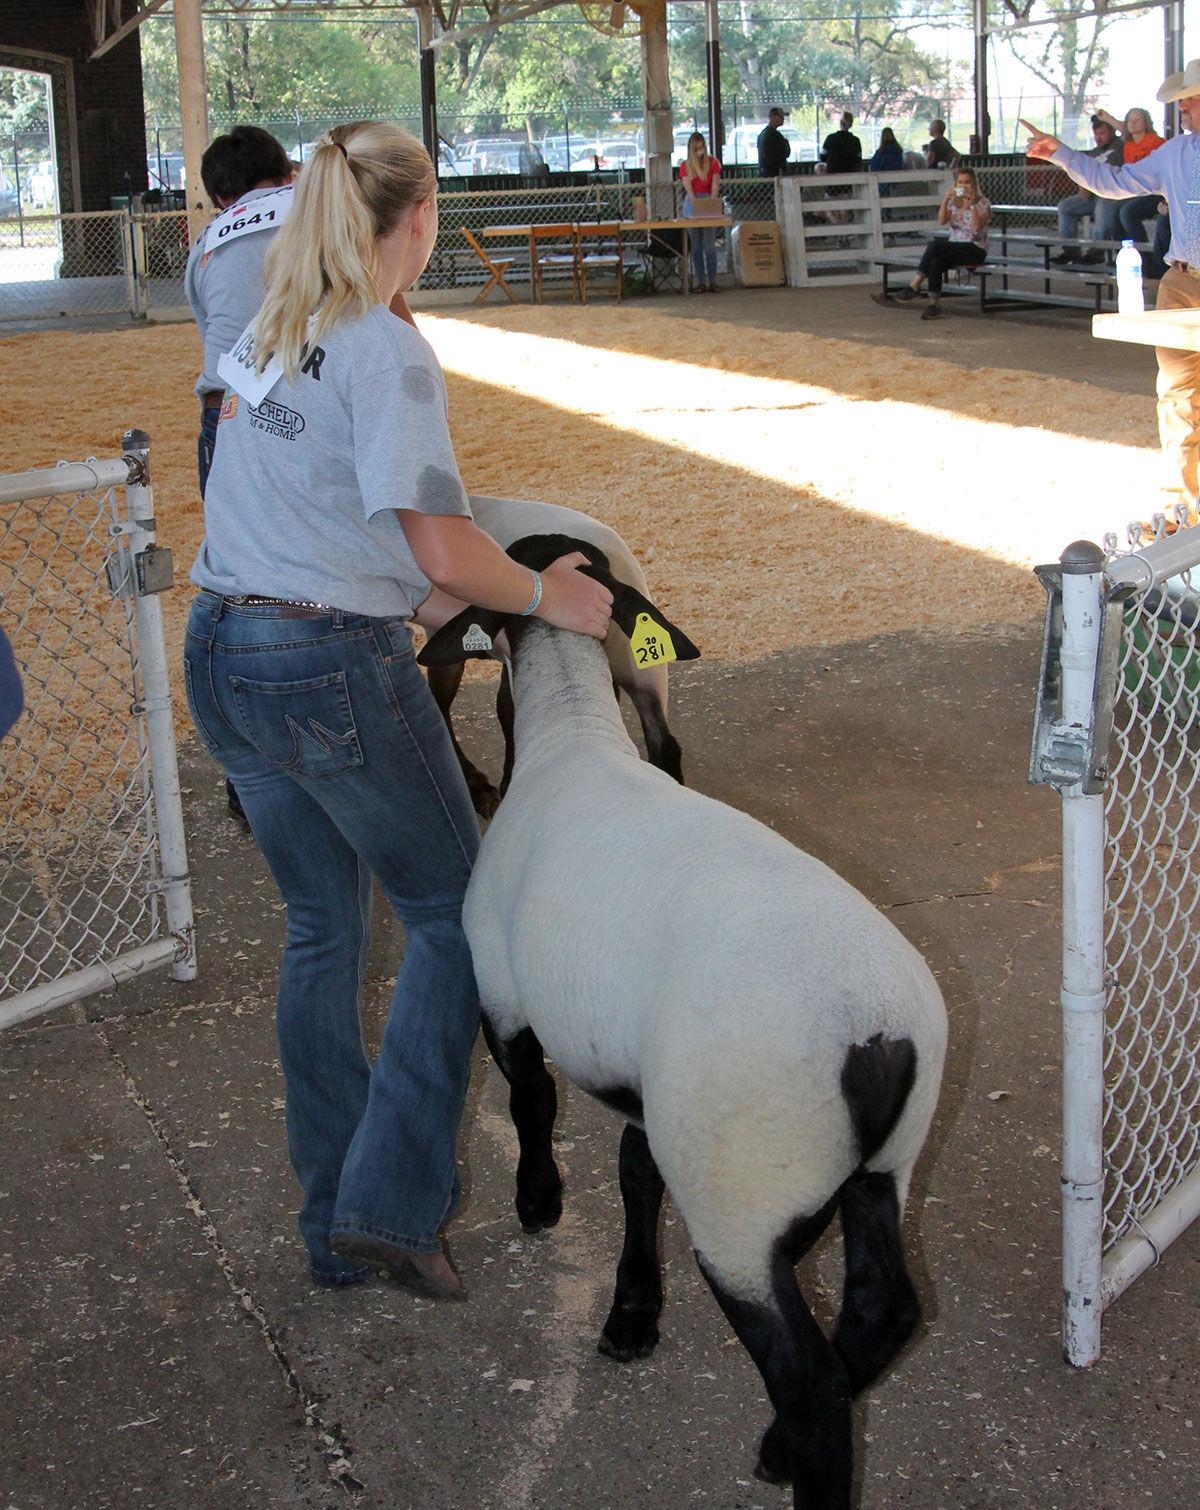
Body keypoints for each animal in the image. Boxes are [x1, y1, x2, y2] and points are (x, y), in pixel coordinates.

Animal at [422, 537, 947, 1503]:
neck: (571, 731)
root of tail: (876, 1036)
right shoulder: (647, 1076)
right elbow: (637, 1174)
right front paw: (633, 1312)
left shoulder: (502, 995)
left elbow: (531, 1101)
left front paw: (539, 1201)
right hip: (882, 1164)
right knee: (884, 1310)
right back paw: (779, 1441)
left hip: (741, 1193)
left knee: (812, 1380)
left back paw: (789, 1448)